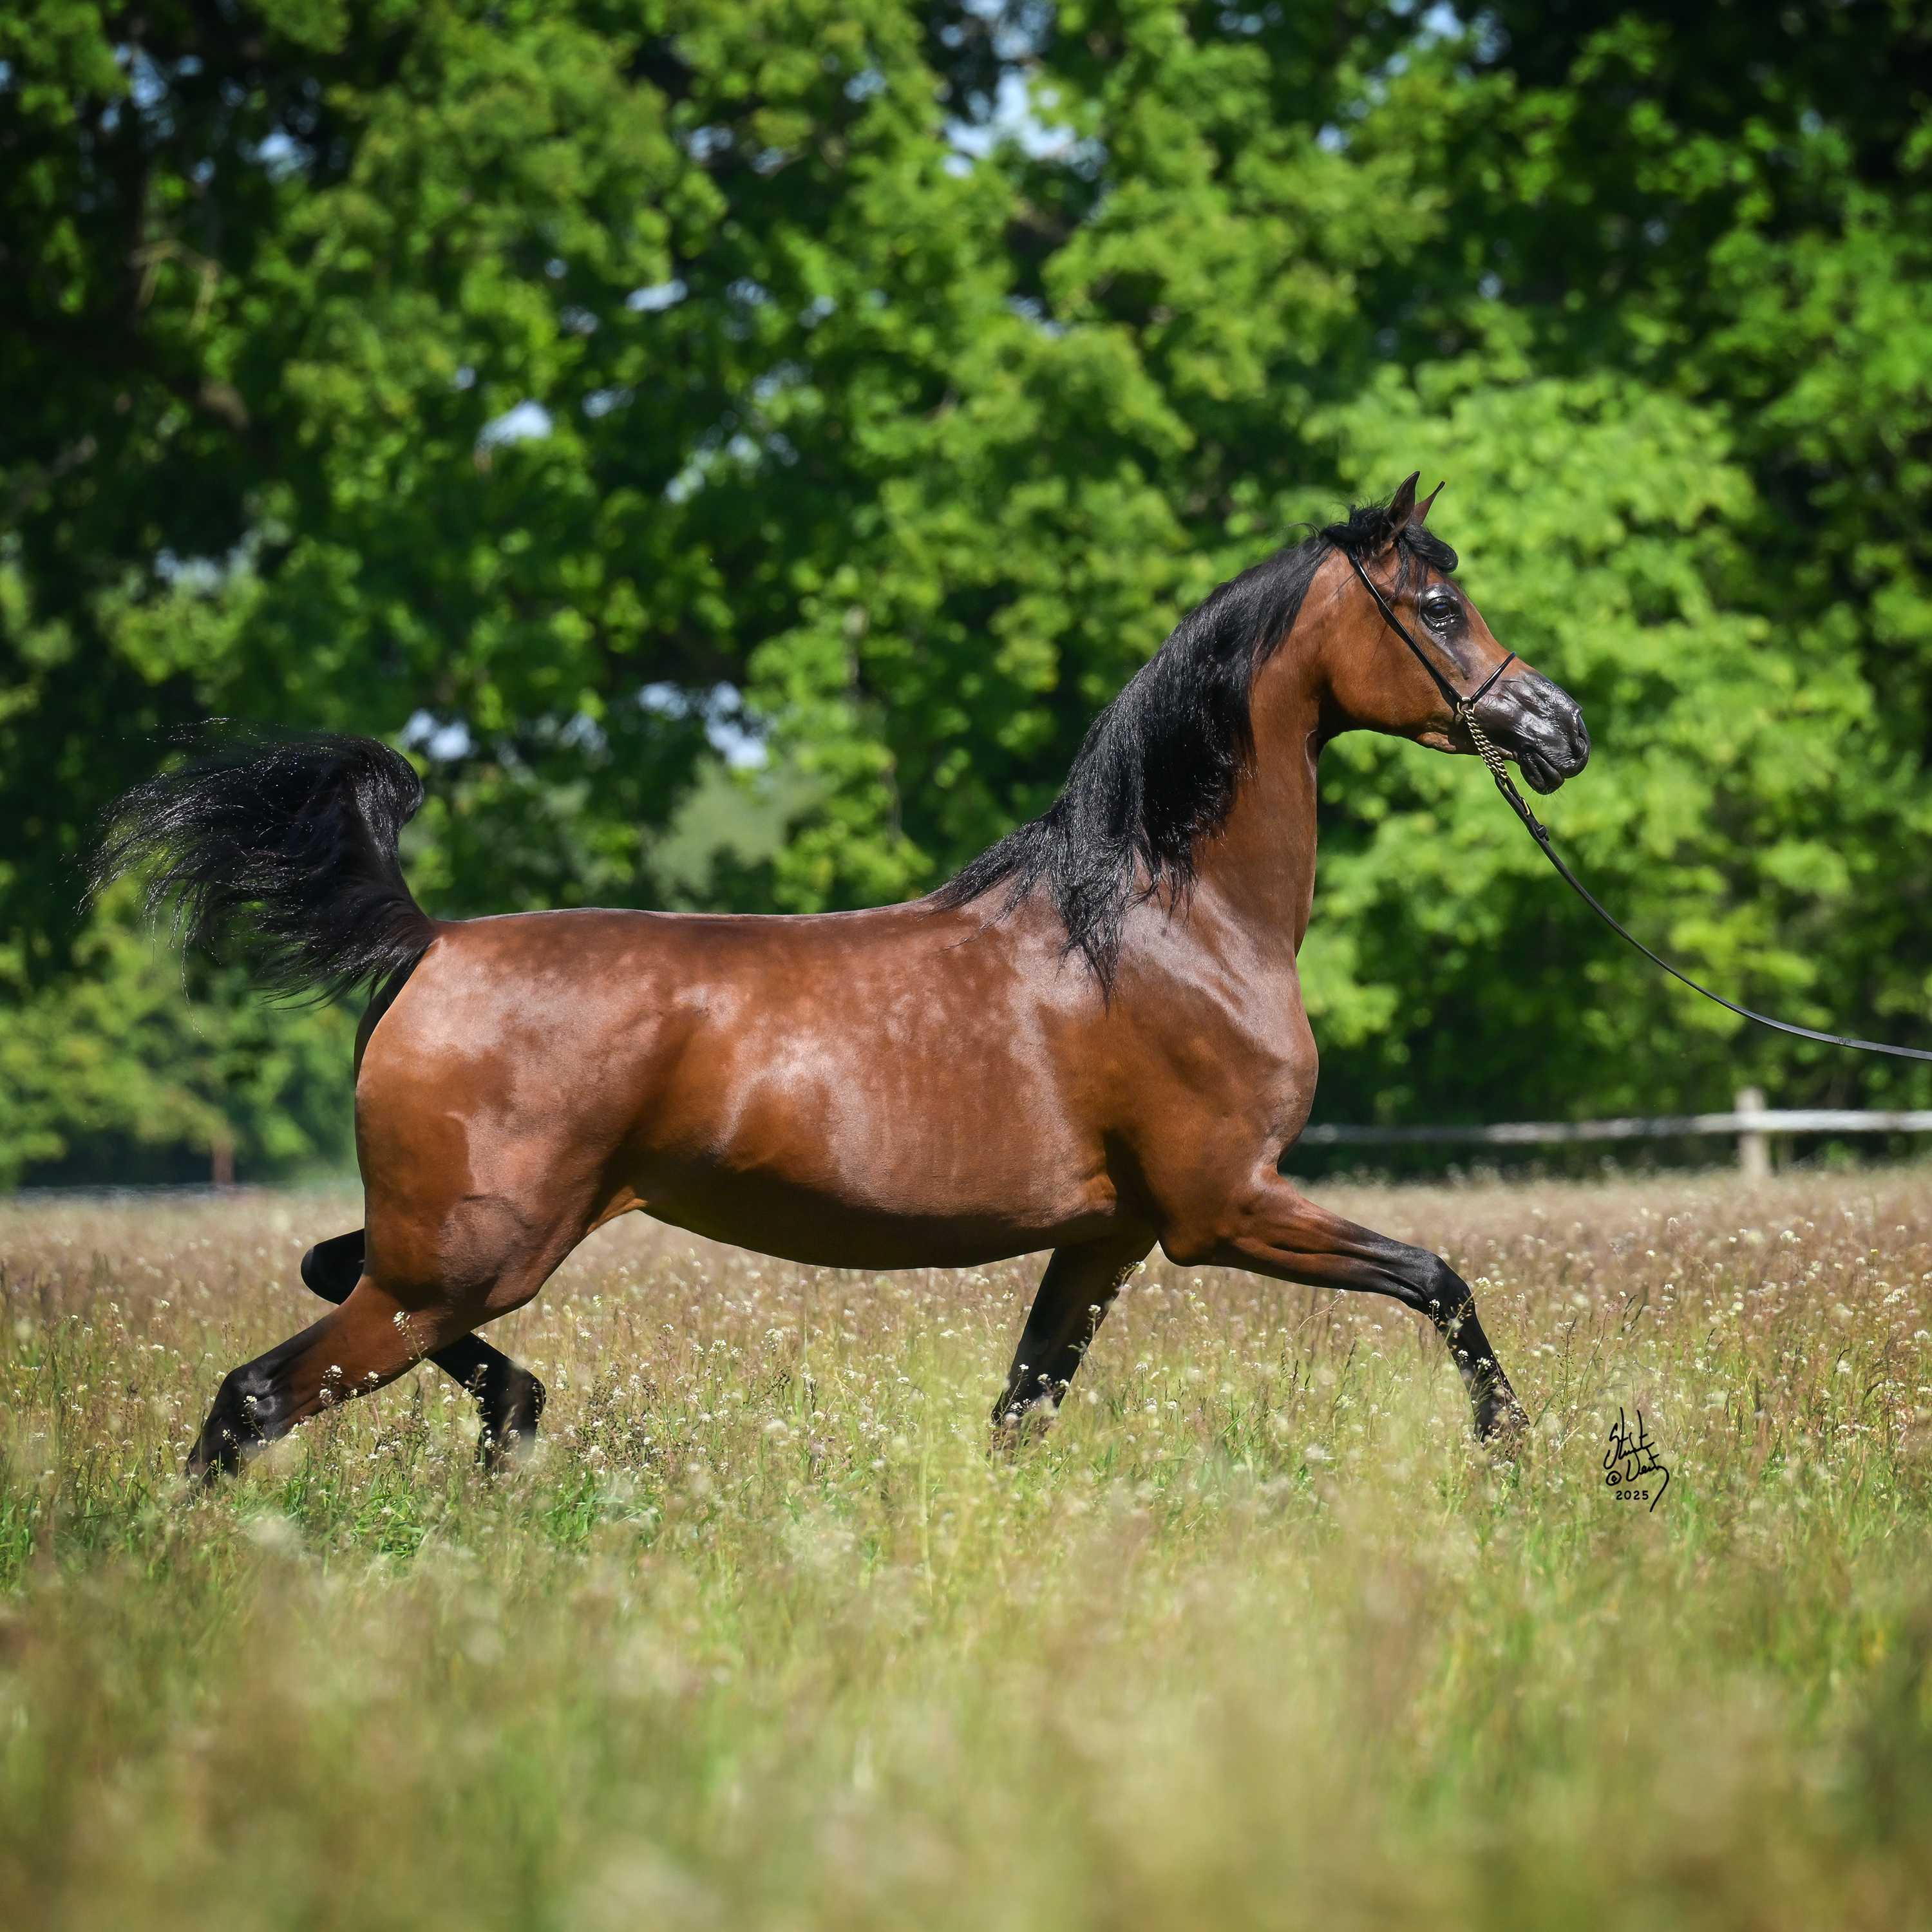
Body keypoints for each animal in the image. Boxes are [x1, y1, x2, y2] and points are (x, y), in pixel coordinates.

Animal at [94, 473, 1589, 1480]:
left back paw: (514, 1417)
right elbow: (1441, 1280)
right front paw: (1511, 1455)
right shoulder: (1225, 1209)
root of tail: (432, 945)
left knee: (323, 1273)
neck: (1165, 923)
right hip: (468, 1261)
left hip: (451, 1251)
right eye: (1441, 606)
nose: (1558, 730)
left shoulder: (1105, 1239)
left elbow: (1022, 1411)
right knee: (254, 1397)